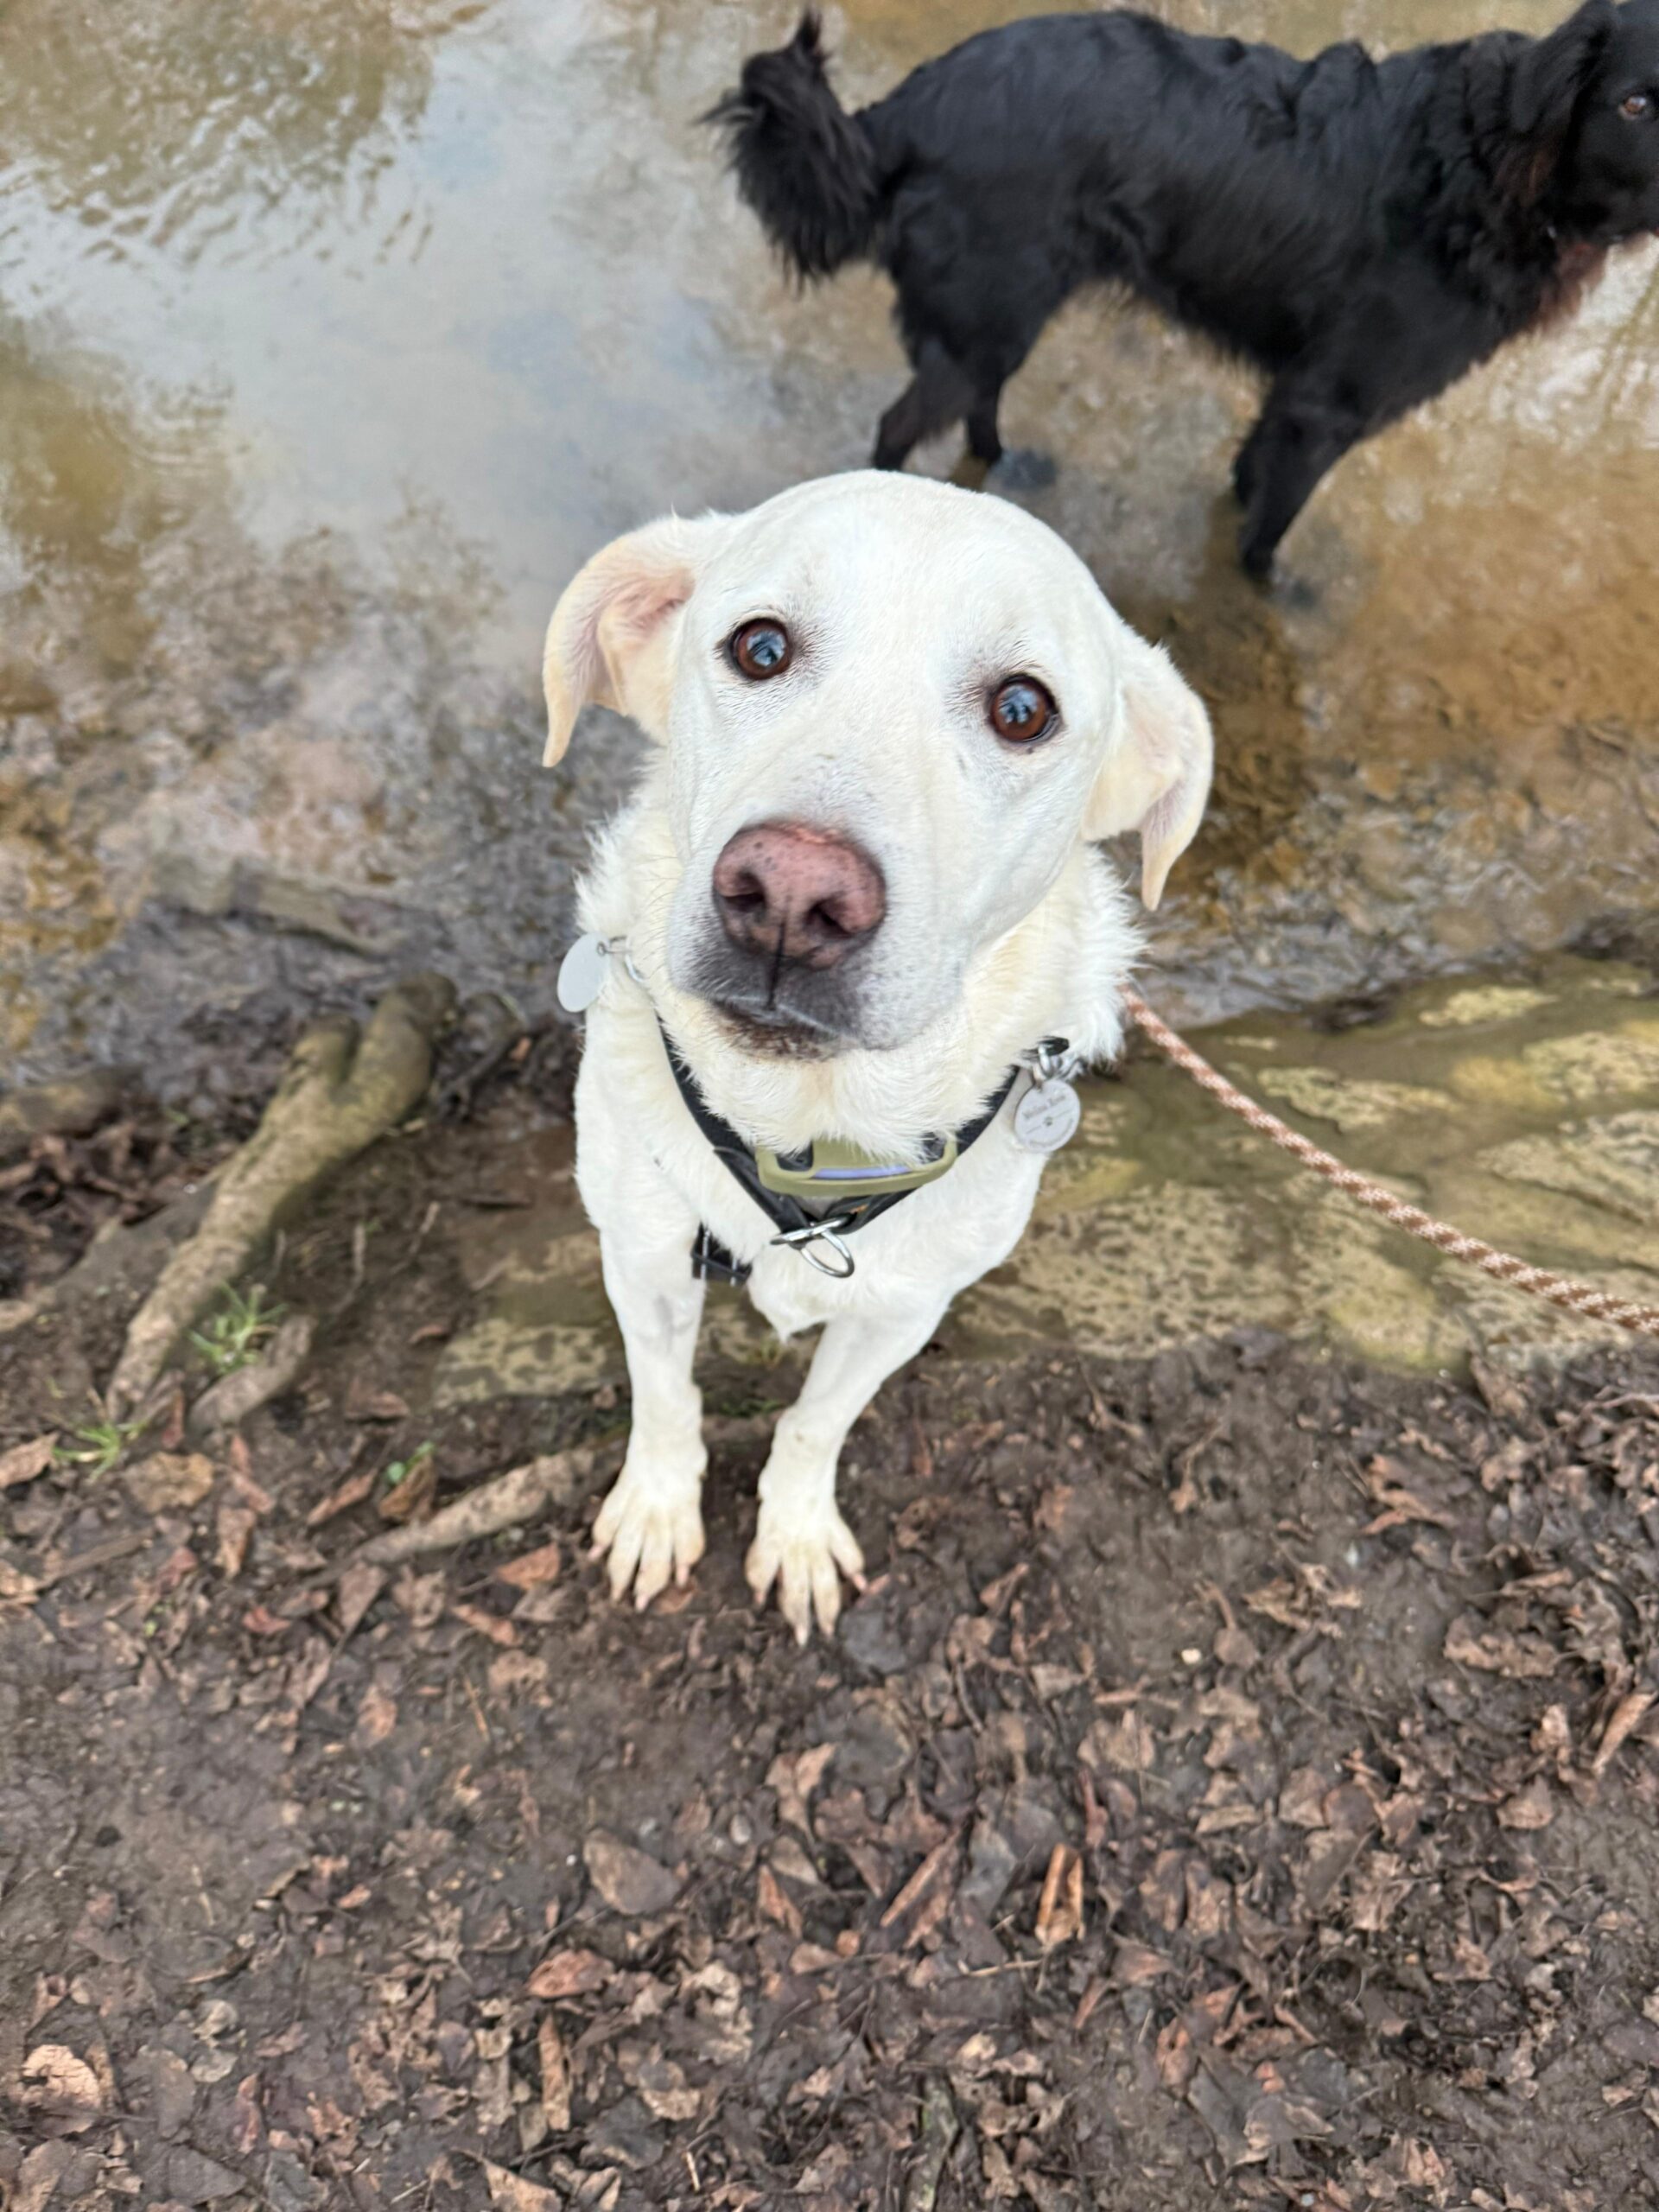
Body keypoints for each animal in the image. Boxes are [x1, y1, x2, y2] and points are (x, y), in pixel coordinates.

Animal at [542, 472, 1211, 1639]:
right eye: (760, 647)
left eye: (1023, 709)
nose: (791, 895)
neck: (808, 1126)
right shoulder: (643, 1254)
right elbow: (666, 1398)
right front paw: (657, 1509)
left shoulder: (903, 1308)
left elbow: (816, 1422)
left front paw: (798, 1530)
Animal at [712, 1, 1659, 574]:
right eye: (1637, 104)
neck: (1492, 164)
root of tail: (908, 105)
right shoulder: (1331, 401)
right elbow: (1270, 528)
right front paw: (1267, 587)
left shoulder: (1292, 392)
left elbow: (1251, 472)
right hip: (988, 312)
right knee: (899, 426)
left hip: (1006, 314)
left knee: (977, 403)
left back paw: (1004, 464)